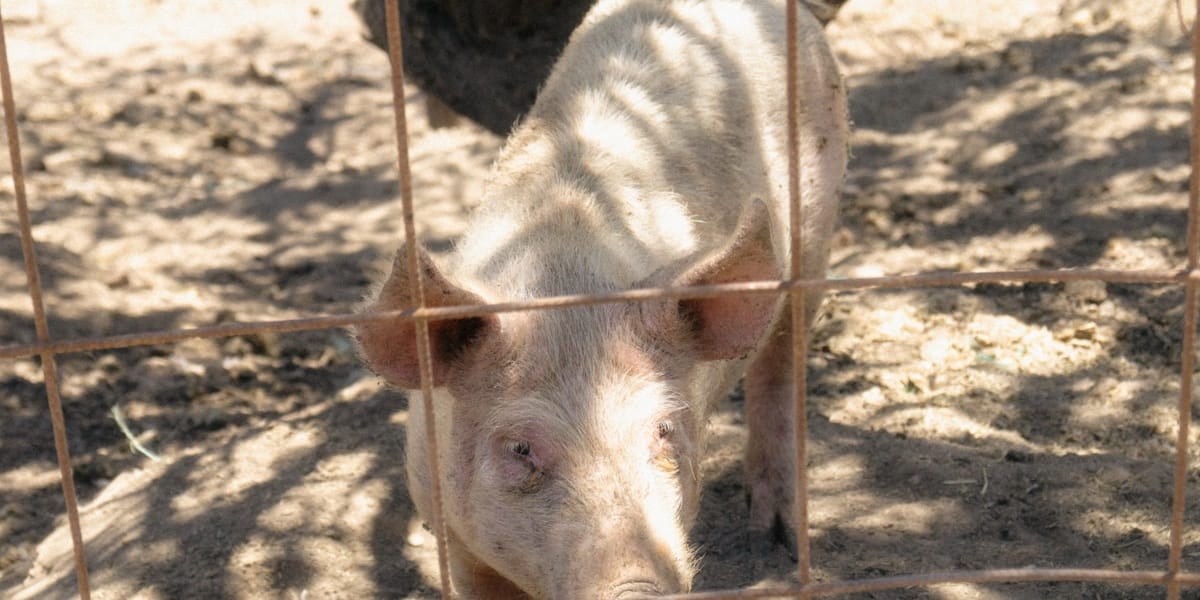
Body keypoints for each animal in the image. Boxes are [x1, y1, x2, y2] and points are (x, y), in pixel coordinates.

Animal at [356, 0, 848, 597]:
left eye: (662, 430)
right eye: (520, 448)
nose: (635, 585)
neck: (563, 285)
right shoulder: (448, 526)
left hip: (817, 217)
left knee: (782, 360)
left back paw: (775, 540)